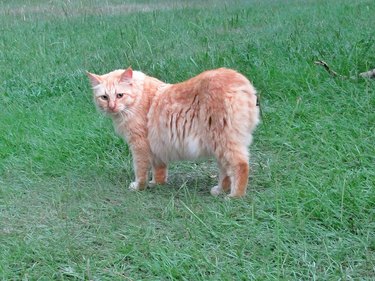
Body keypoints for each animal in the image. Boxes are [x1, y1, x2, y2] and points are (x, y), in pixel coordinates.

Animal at [86, 66, 260, 196]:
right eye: (104, 97)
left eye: (119, 95)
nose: (111, 107)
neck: (138, 98)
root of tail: (241, 81)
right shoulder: (156, 147)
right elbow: (159, 170)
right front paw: (156, 184)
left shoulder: (139, 145)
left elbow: (140, 170)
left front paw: (139, 186)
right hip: (219, 145)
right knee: (226, 171)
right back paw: (220, 191)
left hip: (222, 140)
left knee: (241, 165)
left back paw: (235, 196)